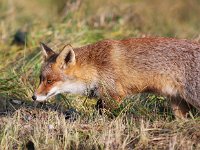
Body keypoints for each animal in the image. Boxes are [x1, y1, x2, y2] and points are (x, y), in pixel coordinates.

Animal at [32, 37, 199, 118]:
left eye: (50, 81)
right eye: (41, 79)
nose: (33, 97)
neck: (95, 66)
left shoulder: (115, 94)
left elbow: (102, 114)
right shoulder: (104, 95)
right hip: (178, 104)